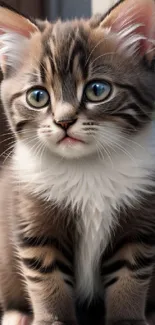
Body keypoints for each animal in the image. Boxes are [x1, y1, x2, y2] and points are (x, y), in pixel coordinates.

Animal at [0, 0, 155, 324]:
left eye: (97, 90)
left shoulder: (139, 220)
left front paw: (127, 318)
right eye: (37, 96)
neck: (86, 167)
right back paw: (17, 315)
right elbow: (46, 276)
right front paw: (52, 319)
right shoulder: (34, 218)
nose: (64, 121)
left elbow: (130, 274)